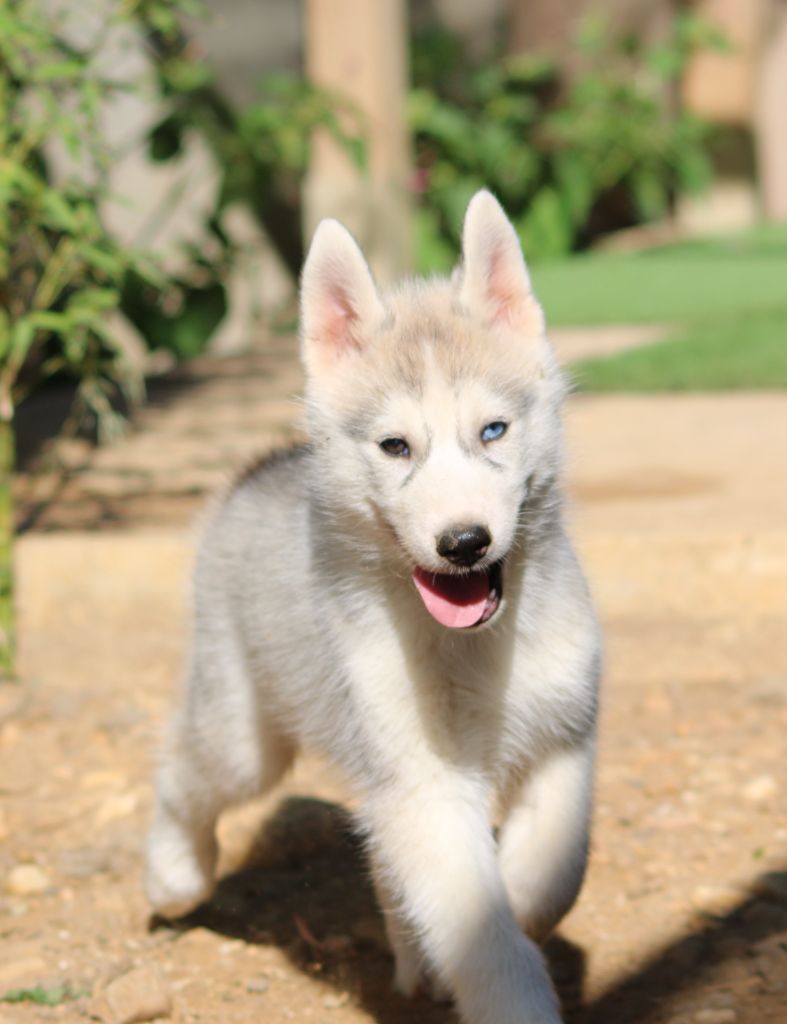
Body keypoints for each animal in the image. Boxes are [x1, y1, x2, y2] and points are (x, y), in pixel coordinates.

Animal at [146, 190, 601, 1024]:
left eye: (493, 430)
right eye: (396, 447)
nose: (462, 542)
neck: (474, 648)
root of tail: (259, 472)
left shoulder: (564, 739)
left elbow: (553, 875)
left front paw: (518, 897)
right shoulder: (424, 785)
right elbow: (487, 939)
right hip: (244, 737)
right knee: (182, 774)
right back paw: (172, 876)